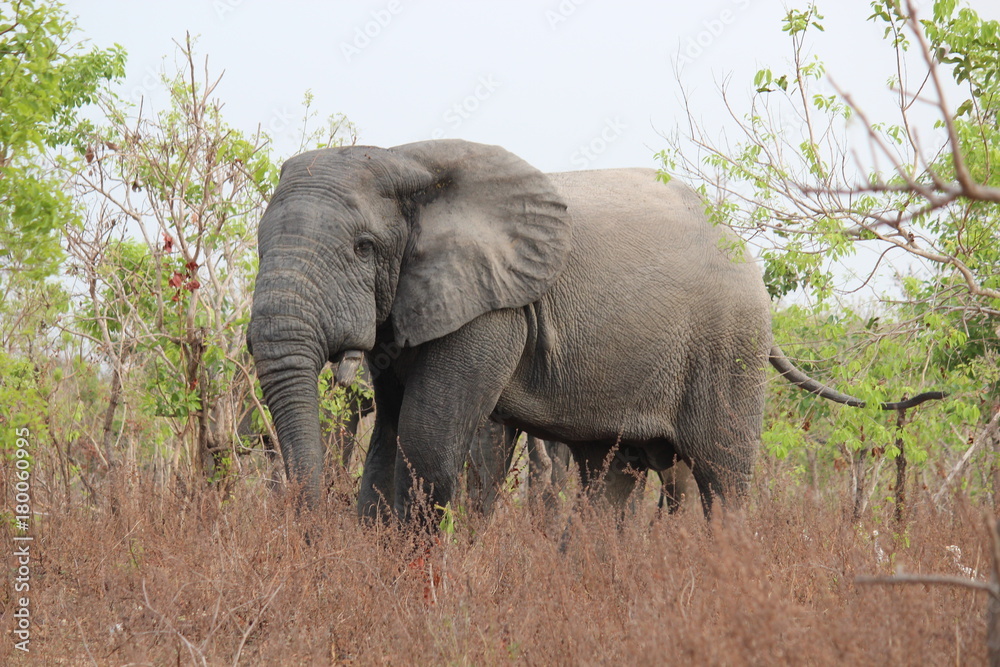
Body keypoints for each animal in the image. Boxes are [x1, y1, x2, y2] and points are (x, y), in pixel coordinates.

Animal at [248, 139, 942, 523]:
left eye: (364, 248)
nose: (307, 532)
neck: (405, 159)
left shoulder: (495, 308)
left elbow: (427, 442)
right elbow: (387, 442)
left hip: (729, 346)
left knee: (723, 475)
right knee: (612, 476)